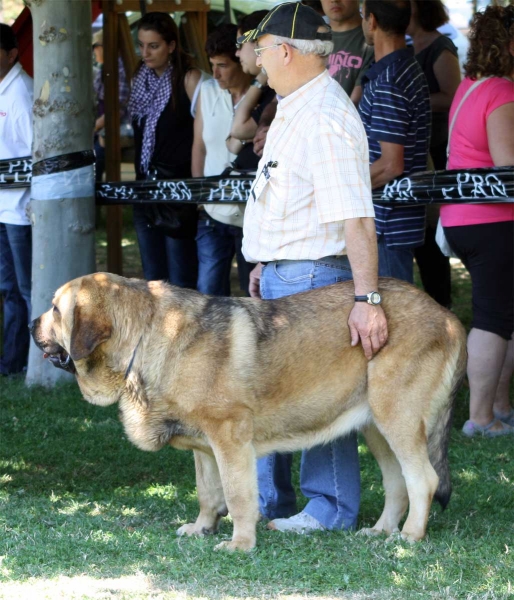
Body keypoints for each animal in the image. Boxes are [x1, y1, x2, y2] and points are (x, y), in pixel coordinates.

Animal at [30, 274, 466, 552]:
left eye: (55, 309)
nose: (33, 322)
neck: (144, 336)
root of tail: (448, 316)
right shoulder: (204, 448)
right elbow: (208, 493)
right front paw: (202, 528)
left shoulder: (230, 437)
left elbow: (238, 495)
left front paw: (240, 543)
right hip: (376, 426)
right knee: (397, 484)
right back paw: (380, 532)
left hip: (397, 418)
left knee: (423, 479)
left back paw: (410, 538)